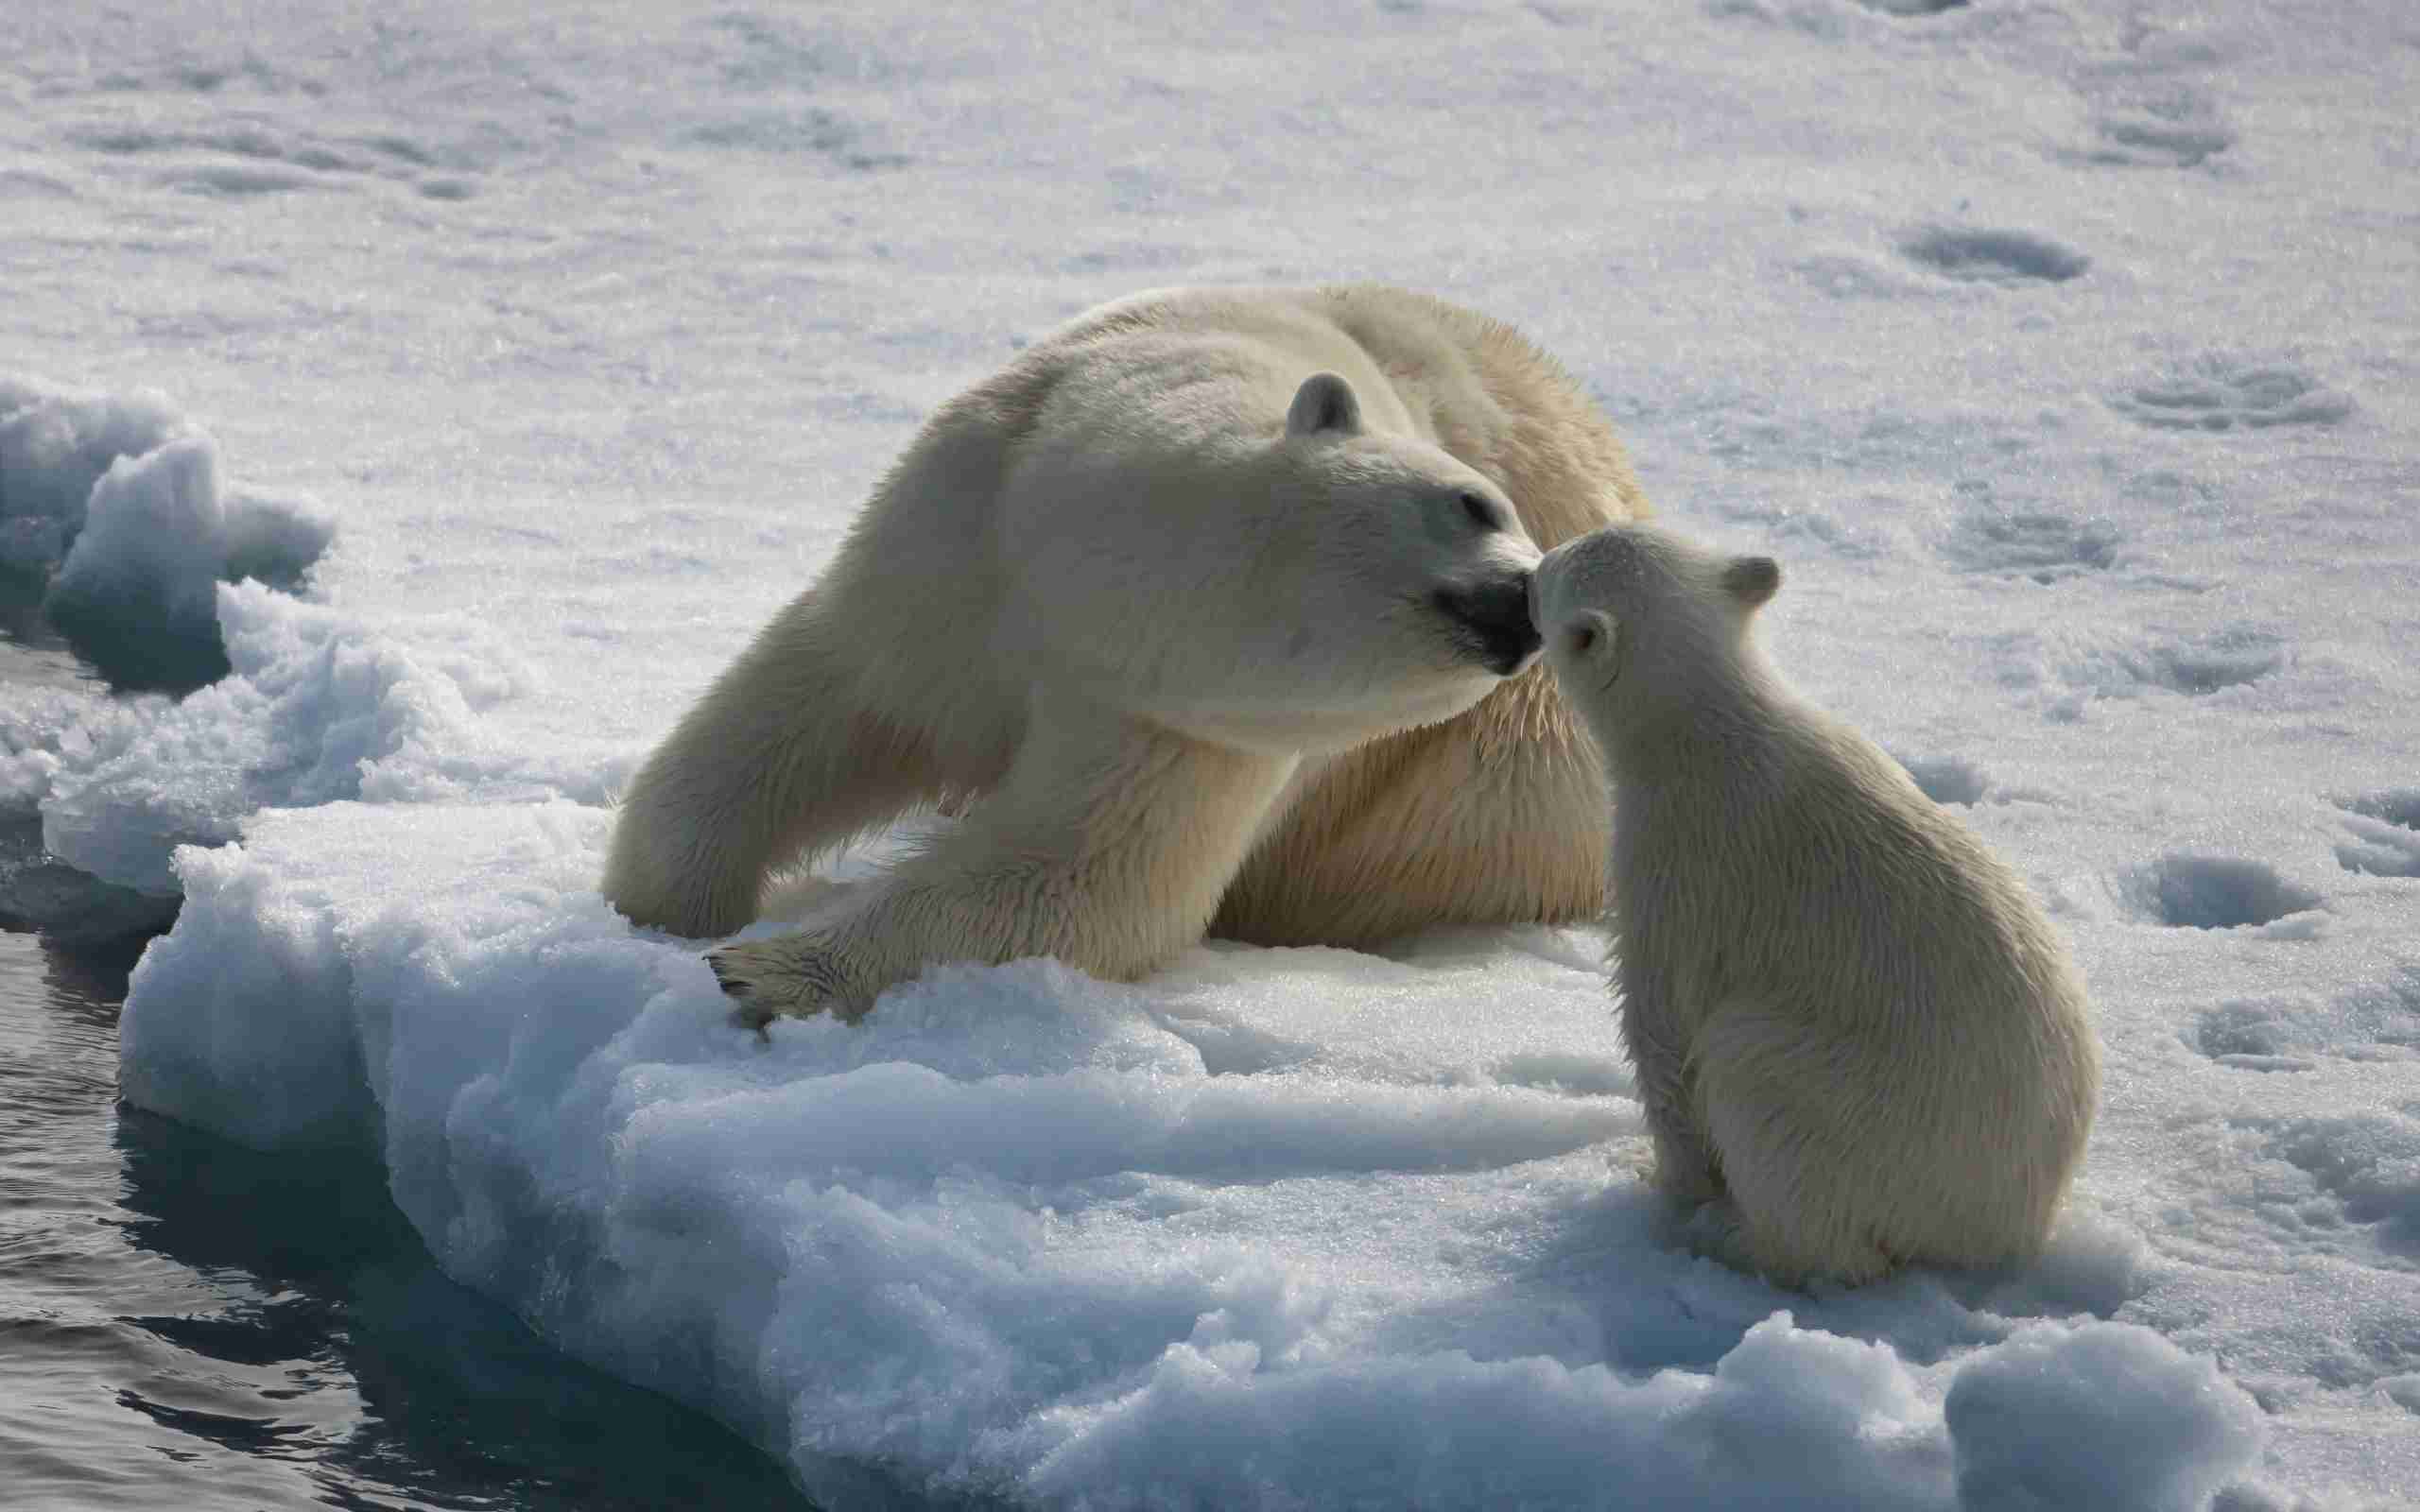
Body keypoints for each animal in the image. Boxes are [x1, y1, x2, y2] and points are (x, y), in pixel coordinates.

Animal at [610, 285, 1645, 1016]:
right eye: (1472, 503)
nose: (1524, 605)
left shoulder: (1179, 726)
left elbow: (1081, 875)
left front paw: (763, 968)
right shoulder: (962, 537)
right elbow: (825, 703)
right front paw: (665, 911)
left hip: (1504, 785)